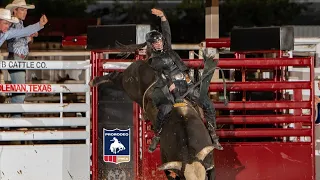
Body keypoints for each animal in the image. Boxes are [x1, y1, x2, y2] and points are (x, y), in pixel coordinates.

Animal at [88, 49, 222, 180]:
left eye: (203, 178)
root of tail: (143, 61)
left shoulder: (210, 165)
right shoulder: (168, 169)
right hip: (128, 84)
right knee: (116, 77)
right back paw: (94, 81)